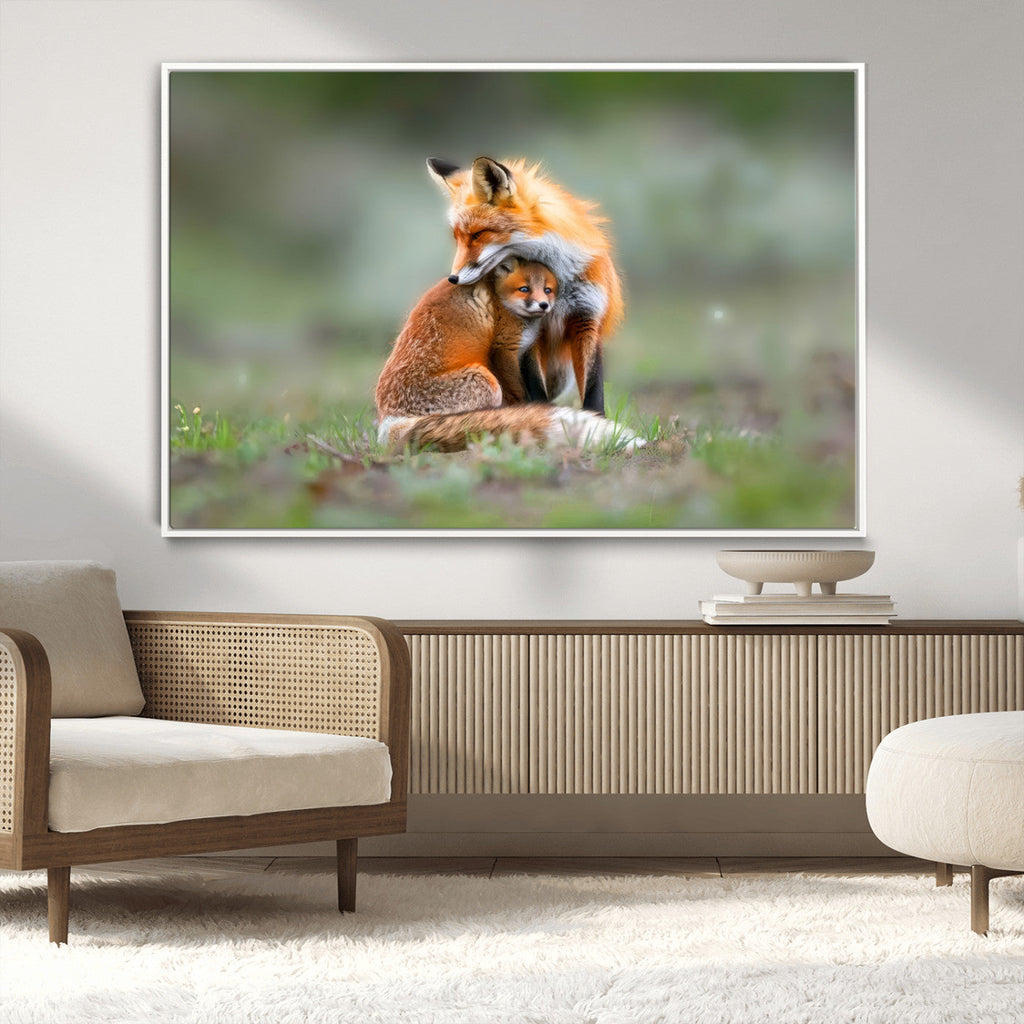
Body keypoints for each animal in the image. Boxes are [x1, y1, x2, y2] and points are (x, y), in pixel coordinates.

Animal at [426, 156, 624, 416]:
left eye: (478, 234)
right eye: (457, 238)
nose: (453, 278)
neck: (558, 281)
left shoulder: (587, 318)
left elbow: (593, 389)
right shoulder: (529, 331)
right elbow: (535, 387)